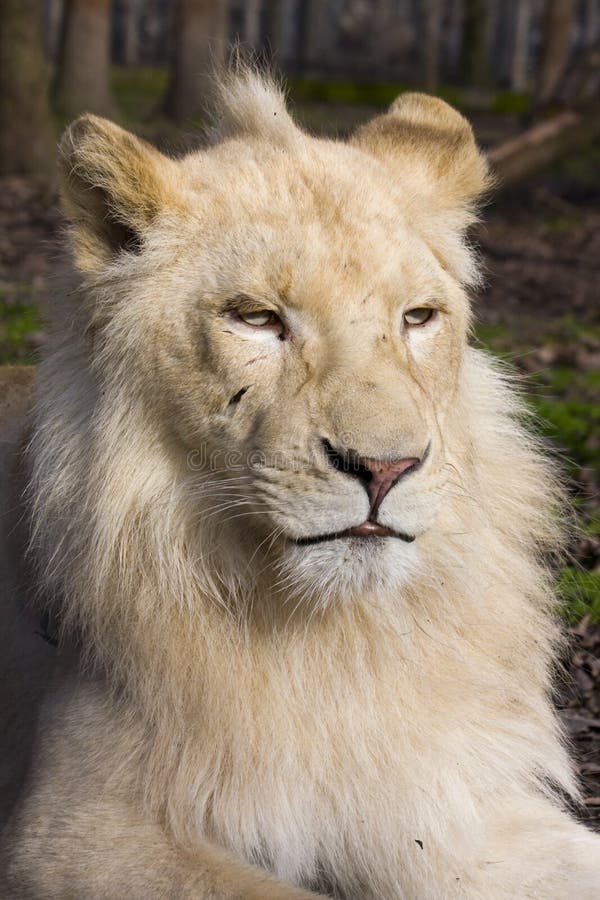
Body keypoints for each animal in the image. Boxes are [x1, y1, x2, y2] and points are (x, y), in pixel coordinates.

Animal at [1, 71, 599, 899]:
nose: (385, 468)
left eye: (418, 317)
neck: (336, 639)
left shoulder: (450, 806)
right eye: (257, 319)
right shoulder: (73, 830)